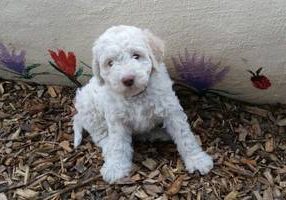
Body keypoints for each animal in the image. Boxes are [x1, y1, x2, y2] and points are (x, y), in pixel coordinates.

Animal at [72, 24, 213, 183]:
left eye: (136, 56)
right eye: (110, 63)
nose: (128, 79)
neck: (136, 96)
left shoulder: (171, 110)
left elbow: (184, 136)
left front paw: (197, 160)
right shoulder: (116, 120)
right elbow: (118, 144)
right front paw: (116, 167)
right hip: (90, 109)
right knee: (101, 136)